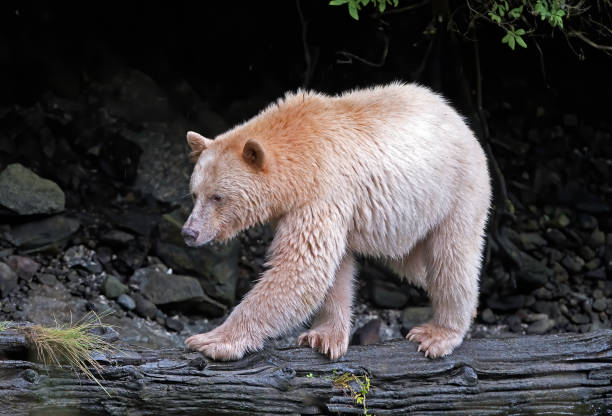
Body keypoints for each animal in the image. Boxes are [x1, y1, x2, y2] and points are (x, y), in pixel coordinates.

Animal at [182, 83, 492, 360]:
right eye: (195, 193)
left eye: (218, 197)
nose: (189, 232)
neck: (300, 159)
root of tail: (459, 119)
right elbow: (335, 268)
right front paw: (324, 337)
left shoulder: (323, 191)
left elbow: (302, 266)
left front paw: (209, 341)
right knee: (414, 264)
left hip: (455, 193)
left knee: (450, 257)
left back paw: (439, 333)